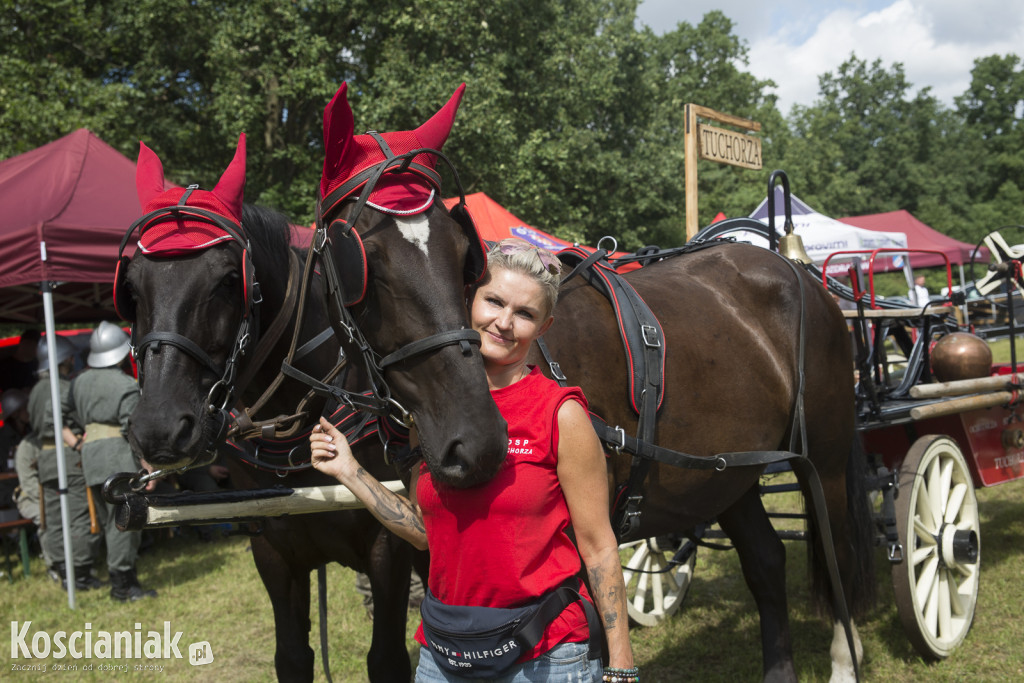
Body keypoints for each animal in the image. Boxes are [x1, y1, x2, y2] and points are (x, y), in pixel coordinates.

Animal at [118, 136, 419, 679]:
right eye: (130, 287)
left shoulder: (391, 544)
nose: (160, 429)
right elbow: (292, 656)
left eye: (225, 281)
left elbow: (387, 657)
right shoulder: (273, 552)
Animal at [315, 87, 876, 683]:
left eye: (461, 252)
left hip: (824, 462)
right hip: (730, 472)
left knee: (838, 558)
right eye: (361, 257)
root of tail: (801, 274)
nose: (477, 442)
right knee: (767, 563)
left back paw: (846, 660)